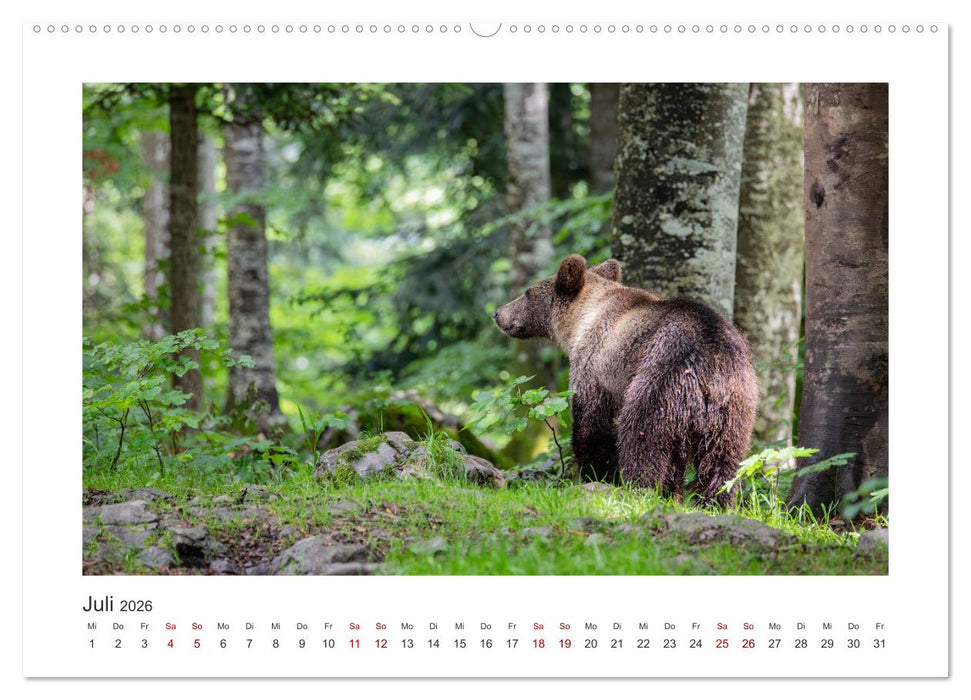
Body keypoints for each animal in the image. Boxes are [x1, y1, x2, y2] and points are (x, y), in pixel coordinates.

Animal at [492, 254, 758, 506]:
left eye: (527, 292)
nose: (497, 313)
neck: (582, 320)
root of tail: (710, 357)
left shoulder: (595, 366)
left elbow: (592, 425)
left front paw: (595, 474)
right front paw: (671, 494)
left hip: (660, 378)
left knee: (642, 438)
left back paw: (639, 488)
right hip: (735, 404)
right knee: (722, 457)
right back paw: (714, 502)